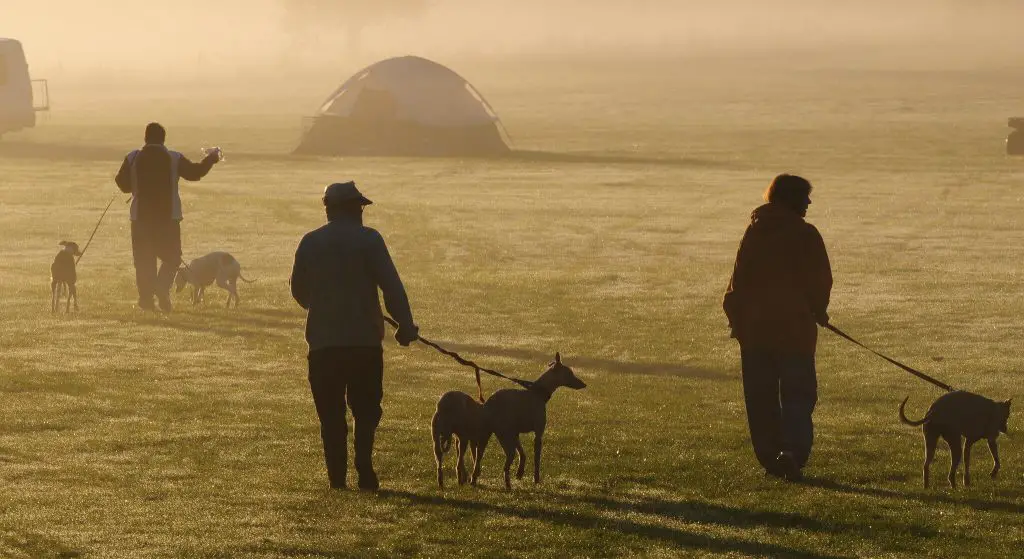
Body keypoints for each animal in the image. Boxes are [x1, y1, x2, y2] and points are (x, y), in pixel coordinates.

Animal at [468, 352, 585, 487]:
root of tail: (488, 403)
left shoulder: (516, 433)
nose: (584, 384)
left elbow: (522, 454)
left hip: (488, 435)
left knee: (478, 457)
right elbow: (536, 459)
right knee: (506, 463)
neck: (538, 393)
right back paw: (507, 484)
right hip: (504, 437)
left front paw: (520, 472)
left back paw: (474, 478)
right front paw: (536, 479)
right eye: (569, 373)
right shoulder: (538, 434)